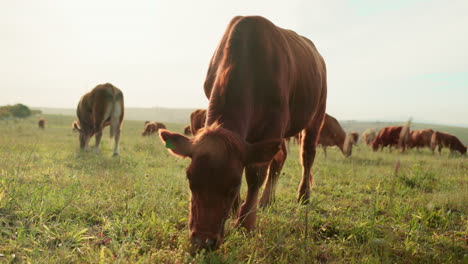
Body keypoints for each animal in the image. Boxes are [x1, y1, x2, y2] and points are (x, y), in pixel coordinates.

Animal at [157, 15, 326, 251]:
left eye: (234, 184)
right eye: (190, 180)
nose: (203, 241)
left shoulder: (274, 124)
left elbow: (255, 174)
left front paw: (246, 222)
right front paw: (237, 209)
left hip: (316, 114)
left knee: (307, 155)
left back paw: (303, 195)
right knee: (279, 158)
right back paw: (266, 201)